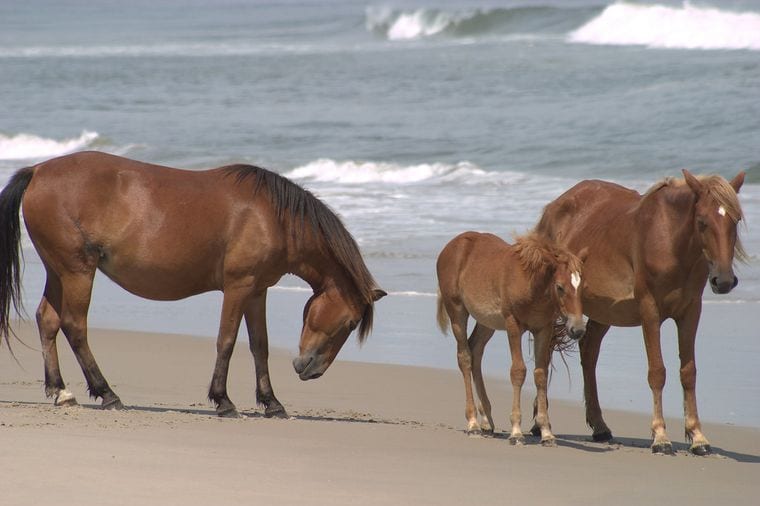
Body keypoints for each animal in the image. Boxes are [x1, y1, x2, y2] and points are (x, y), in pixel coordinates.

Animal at [0, 151, 386, 417]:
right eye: (351, 322)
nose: (311, 370)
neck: (273, 217)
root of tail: (38, 171)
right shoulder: (238, 286)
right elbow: (226, 341)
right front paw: (223, 400)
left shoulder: (257, 291)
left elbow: (259, 346)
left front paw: (271, 402)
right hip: (78, 270)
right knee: (74, 325)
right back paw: (106, 393)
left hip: (58, 270)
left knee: (48, 320)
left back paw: (61, 391)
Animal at [436, 231, 587, 445]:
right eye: (560, 287)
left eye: (581, 287)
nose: (577, 329)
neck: (532, 286)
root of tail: (451, 245)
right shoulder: (513, 325)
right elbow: (518, 371)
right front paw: (516, 431)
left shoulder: (544, 328)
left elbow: (540, 374)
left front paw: (546, 432)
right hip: (457, 311)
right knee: (464, 357)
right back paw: (473, 422)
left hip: (487, 322)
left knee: (475, 351)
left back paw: (487, 420)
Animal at [535, 169, 745, 455]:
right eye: (702, 221)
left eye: (735, 220)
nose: (723, 281)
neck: (670, 240)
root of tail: (552, 208)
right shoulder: (650, 311)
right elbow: (657, 371)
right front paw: (661, 437)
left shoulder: (691, 312)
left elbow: (688, 372)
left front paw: (698, 437)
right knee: (545, 355)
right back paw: (538, 425)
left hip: (604, 311)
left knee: (588, 352)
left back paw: (599, 426)